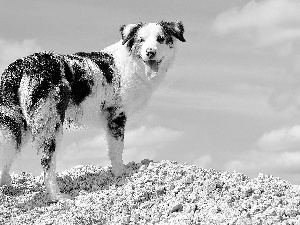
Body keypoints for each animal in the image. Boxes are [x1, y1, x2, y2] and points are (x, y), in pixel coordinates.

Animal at [0, 20, 185, 200]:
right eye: (141, 40)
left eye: (161, 39)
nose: (150, 52)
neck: (132, 62)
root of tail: (23, 64)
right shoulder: (117, 117)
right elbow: (117, 151)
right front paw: (121, 175)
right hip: (49, 124)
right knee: (47, 163)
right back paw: (57, 196)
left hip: (22, 124)